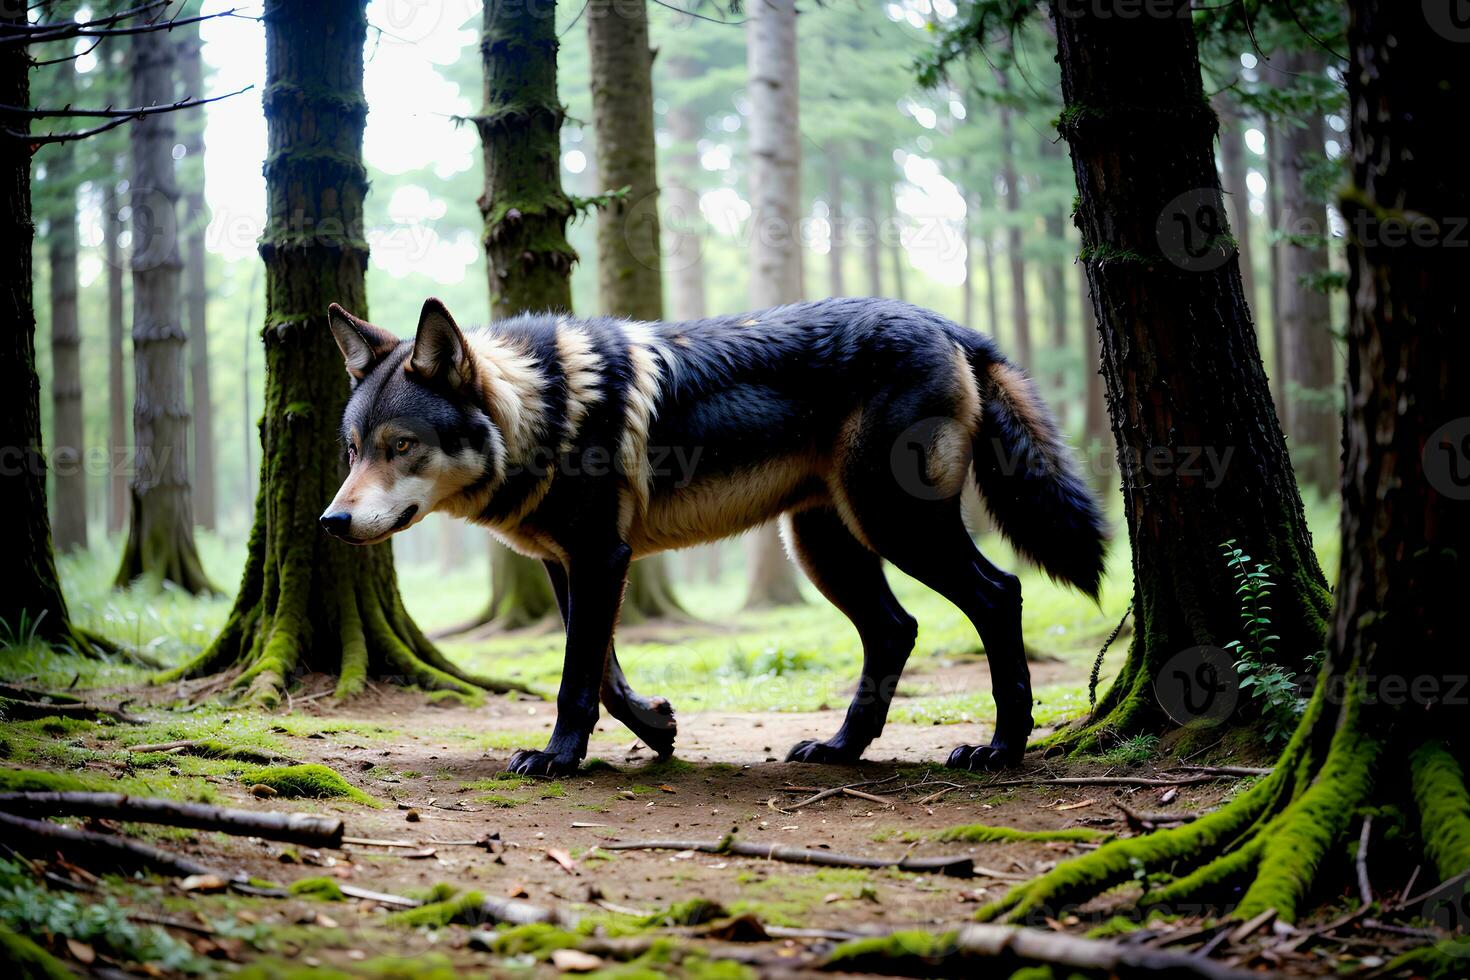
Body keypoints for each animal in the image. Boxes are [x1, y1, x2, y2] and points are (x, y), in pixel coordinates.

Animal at [321, 296, 1105, 775]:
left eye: (400, 446)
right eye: (353, 450)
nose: (332, 522)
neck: (544, 408)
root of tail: (943, 322)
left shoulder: (602, 557)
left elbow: (576, 680)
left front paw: (558, 759)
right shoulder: (570, 567)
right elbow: (605, 675)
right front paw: (659, 727)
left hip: (896, 527)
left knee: (998, 594)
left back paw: (1002, 748)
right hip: (824, 548)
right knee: (896, 629)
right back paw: (841, 747)